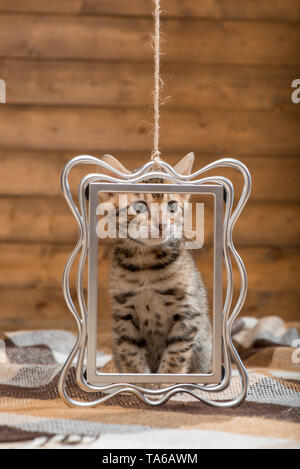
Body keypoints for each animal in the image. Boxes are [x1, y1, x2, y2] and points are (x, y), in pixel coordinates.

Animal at [99, 153, 212, 372]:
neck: (147, 264)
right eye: (139, 207)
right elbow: (132, 356)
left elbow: (176, 356)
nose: (161, 224)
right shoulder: (124, 315)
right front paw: (140, 379)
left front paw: (167, 379)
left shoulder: (187, 312)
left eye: (172, 206)